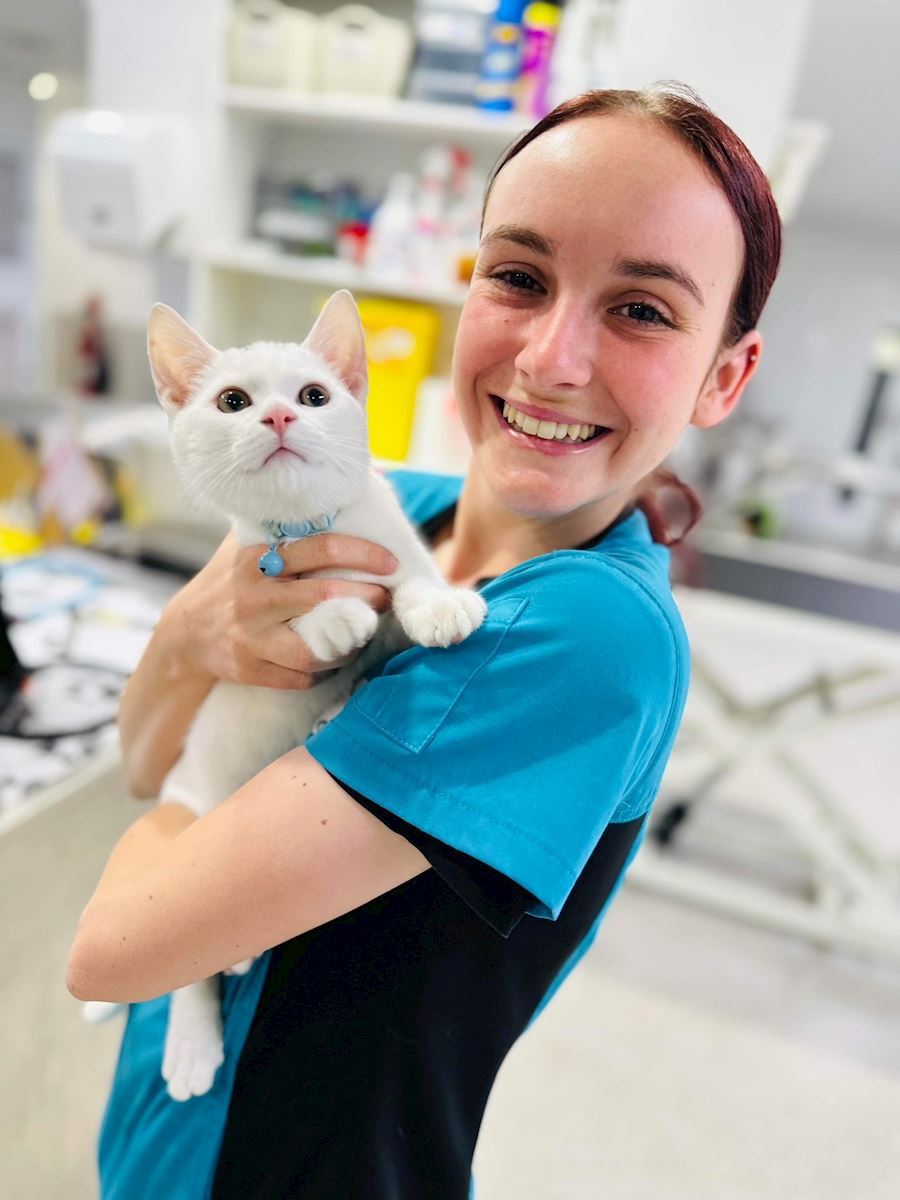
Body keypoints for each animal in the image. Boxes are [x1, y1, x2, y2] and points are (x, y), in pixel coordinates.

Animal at [82, 290, 486, 1102]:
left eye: (314, 396)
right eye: (233, 401)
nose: (276, 418)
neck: (313, 526)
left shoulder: (390, 543)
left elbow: (409, 584)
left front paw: (436, 604)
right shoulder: (253, 584)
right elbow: (306, 611)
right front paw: (332, 616)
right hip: (196, 813)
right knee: (188, 957)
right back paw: (194, 1041)